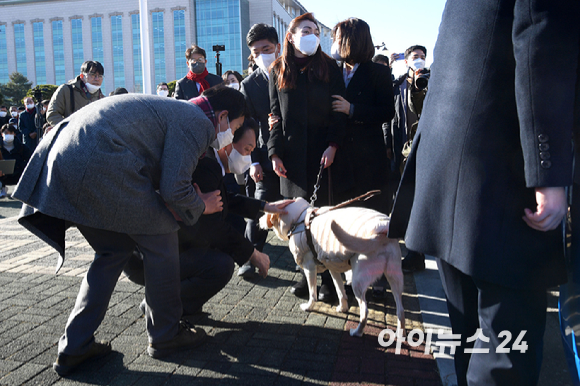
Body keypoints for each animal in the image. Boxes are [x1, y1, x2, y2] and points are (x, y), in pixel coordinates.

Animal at [260, 198, 406, 336]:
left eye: (266, 213)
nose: (259, 219)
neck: (299, 219)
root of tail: (380, 233)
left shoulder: (309, 268)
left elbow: (312, 294)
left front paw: (308, 306)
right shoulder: (333, 268)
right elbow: (340, 291)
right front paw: (343, 308)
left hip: (358, 283)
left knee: (365, 312)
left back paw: (357, 332)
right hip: (395, 279)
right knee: (400, 310)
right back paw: (400, 334)